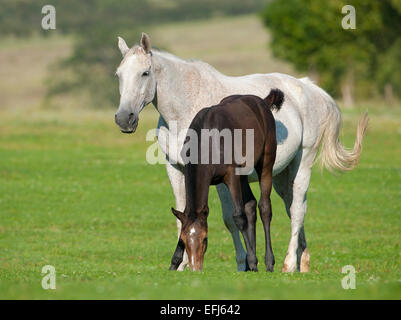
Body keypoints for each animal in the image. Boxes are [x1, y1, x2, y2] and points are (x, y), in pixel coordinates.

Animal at [169, 89, 284, 272]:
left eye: (205, 239)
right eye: (185, 241)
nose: (195, 268)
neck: (208, 140)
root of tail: (262, 102)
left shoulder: (231, 175)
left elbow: (238, 216)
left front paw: (252, 261)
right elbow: (185, 215)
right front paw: (174, 263)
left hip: (266, 163)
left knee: (264, 208)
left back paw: (268, 262)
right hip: (243, 174)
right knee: (250, 205)